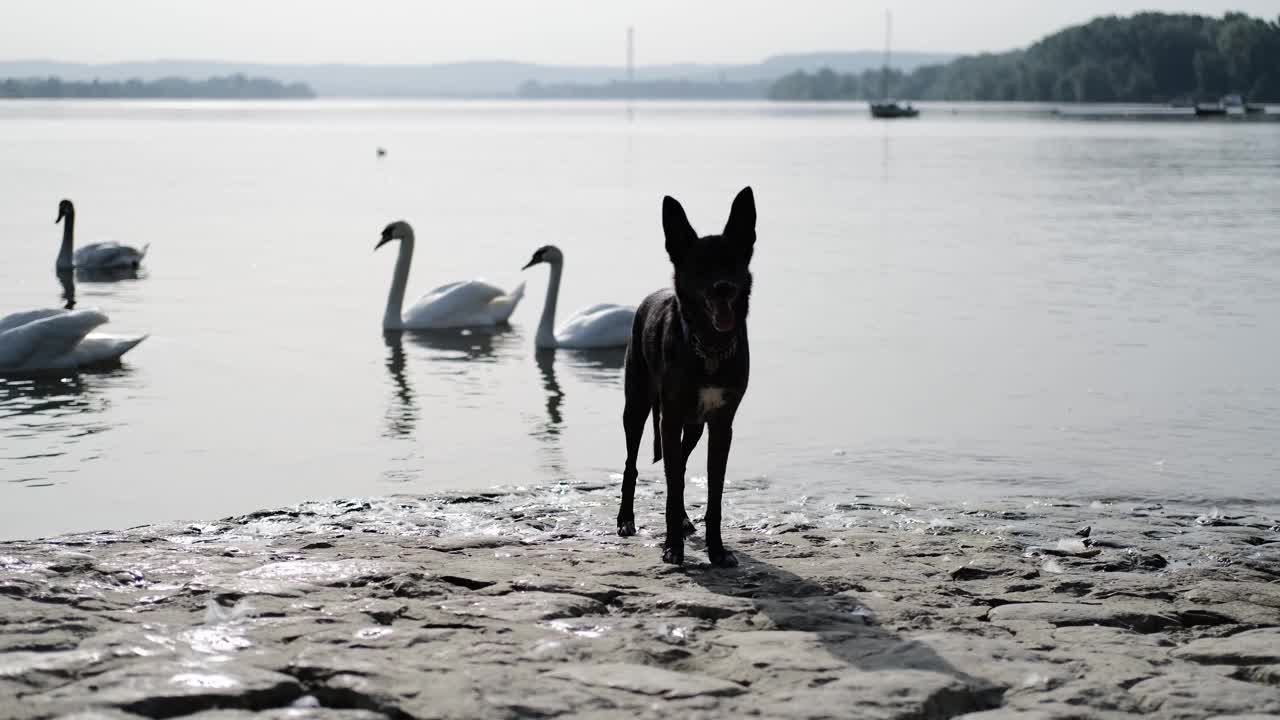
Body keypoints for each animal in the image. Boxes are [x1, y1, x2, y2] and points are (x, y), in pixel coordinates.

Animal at [616, 185, 752, 566]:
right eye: (700, 266)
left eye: (732, 262)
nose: (723, 287)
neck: (708, 345)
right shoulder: (671, 417)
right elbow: (673, 482)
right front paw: (672, 547)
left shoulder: (721, 425)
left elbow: (713, 492)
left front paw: (717, 551)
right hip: (637, 407)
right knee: (633, 464)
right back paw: (626, 520)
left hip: (693, 427)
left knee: (679, 465)